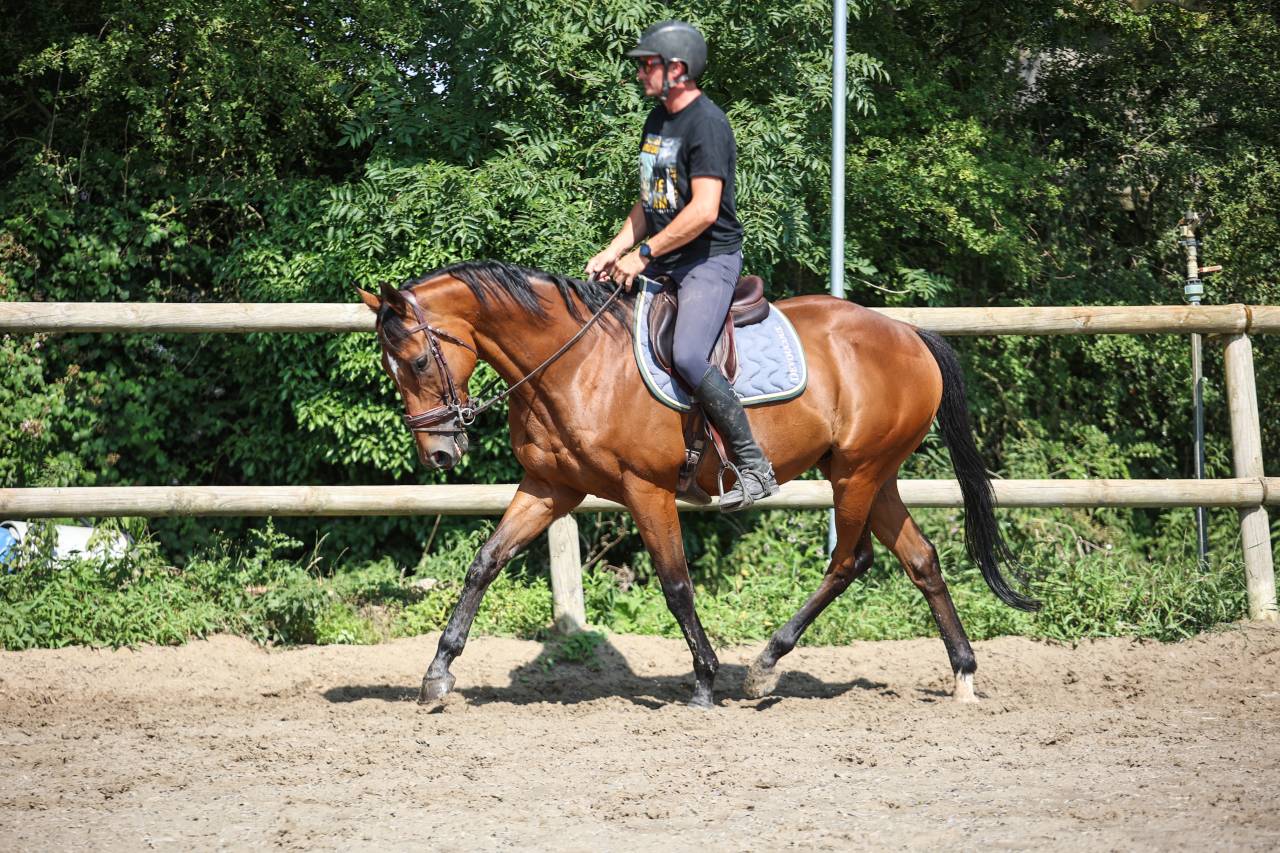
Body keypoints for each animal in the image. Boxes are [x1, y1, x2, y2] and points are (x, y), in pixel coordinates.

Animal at [356, 259, 1038, 709]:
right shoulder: (551, 487)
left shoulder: (646, 490)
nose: (439, 454)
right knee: (920, 559)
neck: (574, 364)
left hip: (857, 473)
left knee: (851, 560)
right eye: (392, 368)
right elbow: (485, 563)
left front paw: (705, 680)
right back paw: (963, 674)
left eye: (417, 360)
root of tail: (907, 333)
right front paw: (438, 674)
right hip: (876, 473)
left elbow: (676, 584)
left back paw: (764, 667)